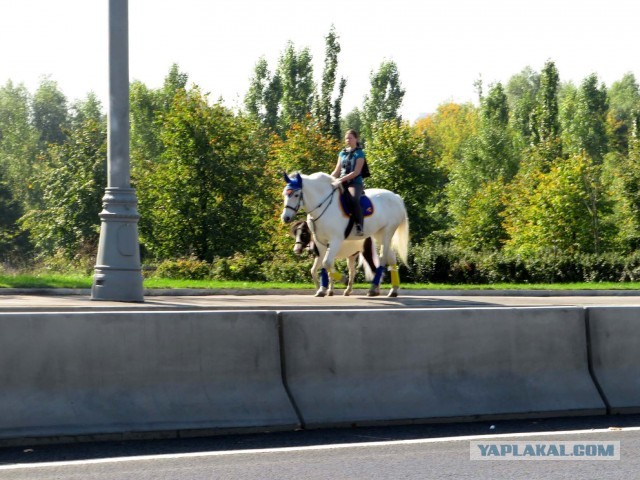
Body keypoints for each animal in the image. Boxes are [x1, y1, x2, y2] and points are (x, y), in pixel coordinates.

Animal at [282, 171, 410, 294]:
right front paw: (322, 289)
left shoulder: (335, 240)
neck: (323, 207)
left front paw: (339, 282)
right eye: (285, 194)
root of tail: (395, 196)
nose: (285, 218)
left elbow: (327, 263)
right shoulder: (321, 242)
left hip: (387, 232)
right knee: (391, 258)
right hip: (379, 234)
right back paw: (393, 290)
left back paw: (374, 288)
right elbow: (322, 266)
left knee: (382, 259)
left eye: (296, 195)